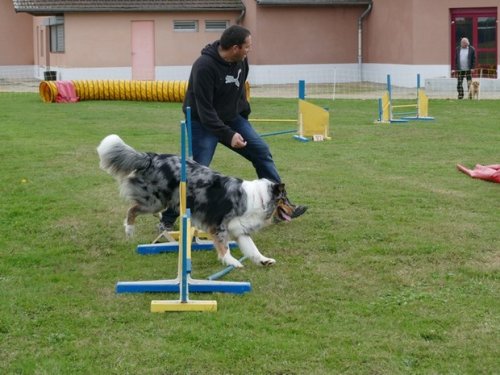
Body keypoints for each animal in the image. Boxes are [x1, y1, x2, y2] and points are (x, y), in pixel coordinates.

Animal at [96, 136, 294, 270]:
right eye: (285, 199)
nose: (295, 209)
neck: (260, 199)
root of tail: (153, 157)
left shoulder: (240, 229)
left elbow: (253, 249)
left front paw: (264, 260)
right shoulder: (218, 226)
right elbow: (224, 247)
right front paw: (231, 261)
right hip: (155, 201)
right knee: (132, 209)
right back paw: (129, 231)